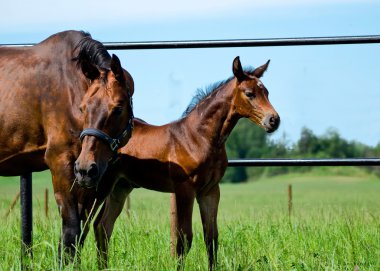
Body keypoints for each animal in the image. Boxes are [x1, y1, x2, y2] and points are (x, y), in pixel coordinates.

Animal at [0, 30, 135, 258]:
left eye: (118, 108)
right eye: (83, 107)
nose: (86, 168)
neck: (70, 84)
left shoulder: (89, 179)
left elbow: (79, 234)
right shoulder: (60, 163)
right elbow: (71, 231)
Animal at [91, 56, 280, 270]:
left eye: (266, 92)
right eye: (249, 93)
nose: (273, 120)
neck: (199, 137)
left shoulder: (210, 191)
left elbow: (211, 238)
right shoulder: (185, 189)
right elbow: (184, 239)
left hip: (120, 187)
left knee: (102, 226)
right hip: (100, 186)